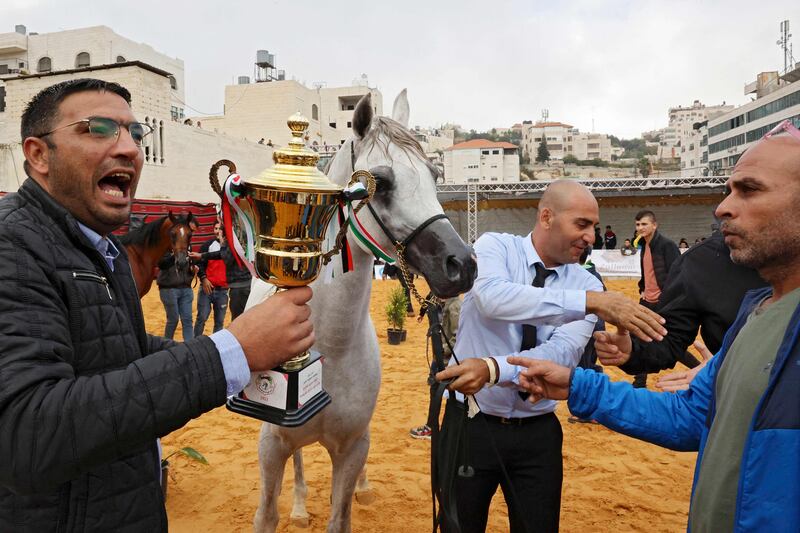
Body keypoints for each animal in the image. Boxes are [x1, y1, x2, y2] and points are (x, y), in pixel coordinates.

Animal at [250, 91, 476, 532]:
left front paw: (358, 491)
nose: (461, 265)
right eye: (382, 183)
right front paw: (296, 506)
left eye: (435, 176)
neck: (331, 351)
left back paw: (364, 488)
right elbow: (267, 513)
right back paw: (300, 504)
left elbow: (341, 516)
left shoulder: (353, 447)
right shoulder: (272, 448)